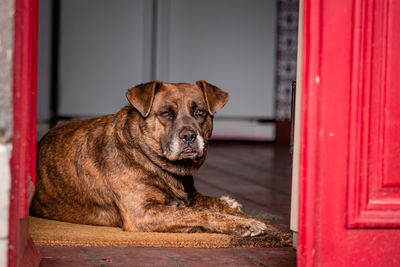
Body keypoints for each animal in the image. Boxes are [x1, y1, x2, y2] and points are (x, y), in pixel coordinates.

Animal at [31, 80, 268, 238]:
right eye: (165, 114)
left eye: (200, 112)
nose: (189, 136)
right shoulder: (143, 213)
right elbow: (200, 213)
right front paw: (243, 224)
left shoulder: (191, 195)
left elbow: (213, 204)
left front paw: (242, 216)